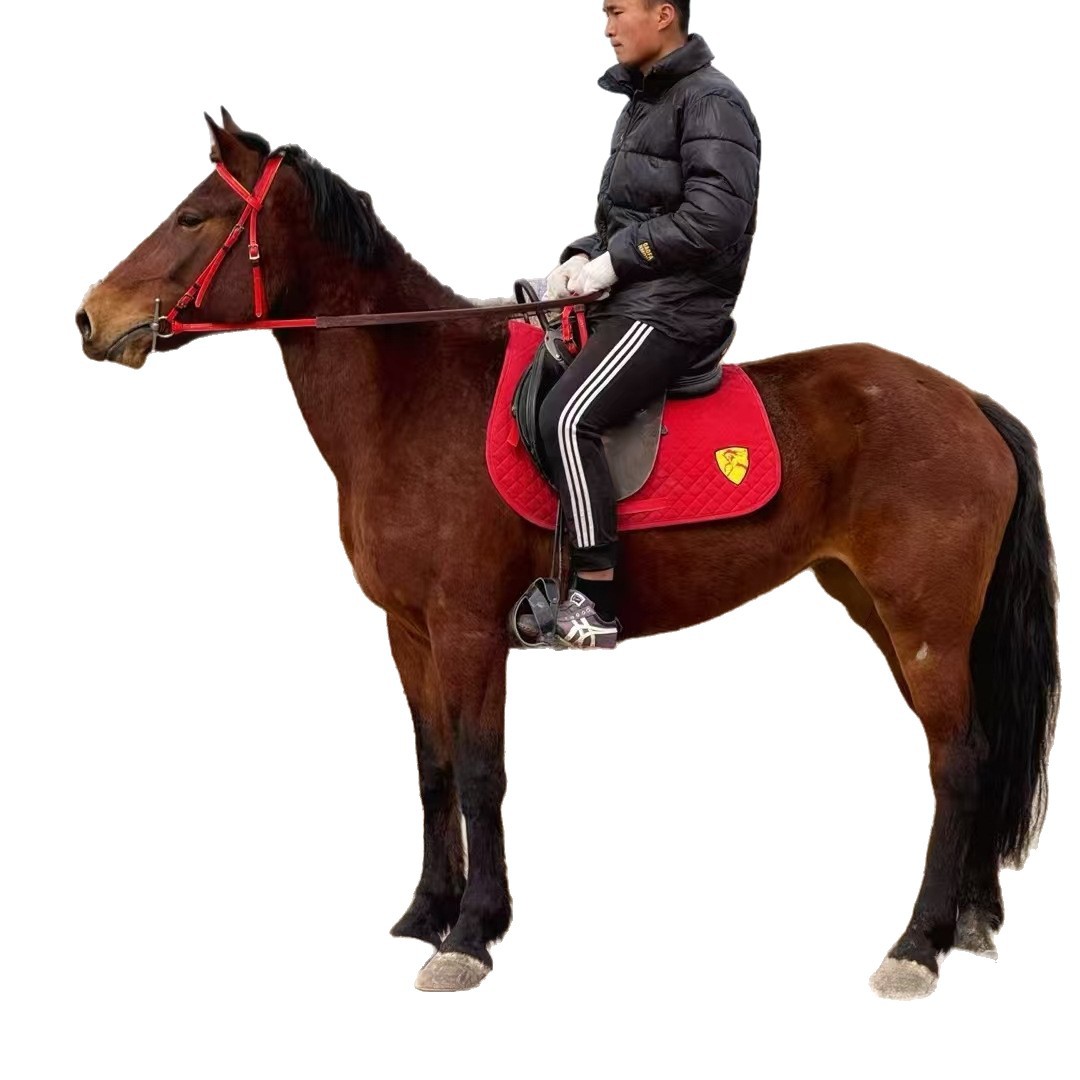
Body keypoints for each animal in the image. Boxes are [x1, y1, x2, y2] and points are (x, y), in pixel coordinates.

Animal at [75, 111, 1059, 997]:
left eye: (194, 216)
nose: (90, 317)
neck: (411, 395)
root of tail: (967, 402)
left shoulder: (469, 629)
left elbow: (481, 774)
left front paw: (473, 934)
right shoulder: (410, 633)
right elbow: (432, 770)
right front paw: (428, 910)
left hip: (923, 623)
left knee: (956, 762)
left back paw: (917, 946)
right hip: (891, 617)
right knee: (975, 751)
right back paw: (967, 921)